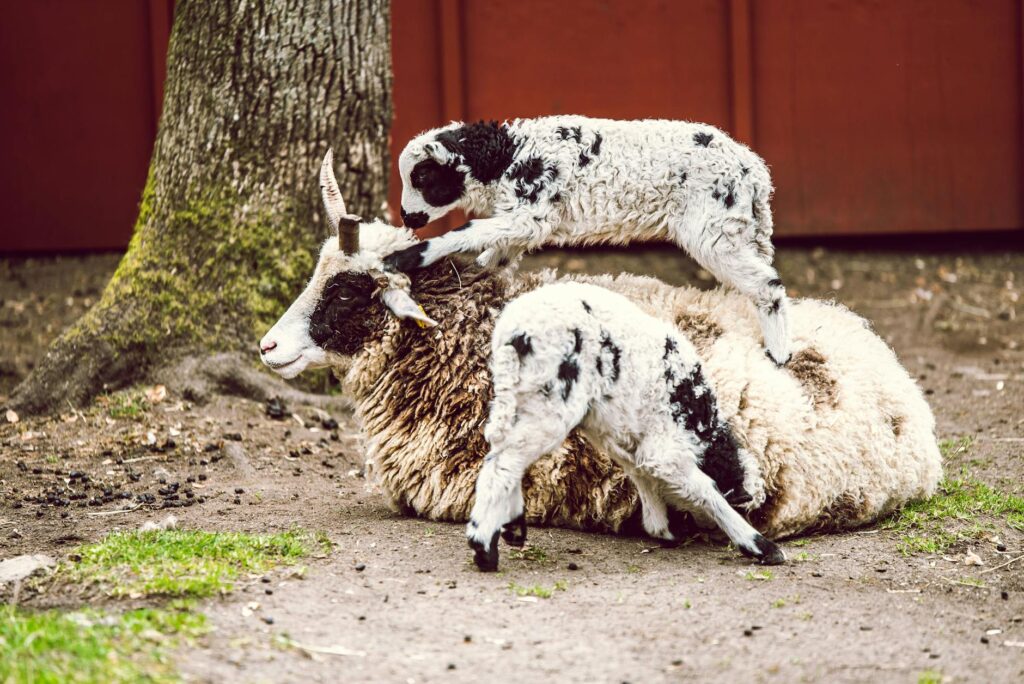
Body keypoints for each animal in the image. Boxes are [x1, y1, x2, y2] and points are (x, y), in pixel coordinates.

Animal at [385, 116, 792, 366]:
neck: (506, 156)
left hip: (713, 229)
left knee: (767, 285)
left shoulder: (531, 214)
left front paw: (406, 257)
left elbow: (467, 231)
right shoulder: (522, 222)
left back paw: (780, 355)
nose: (406, 216)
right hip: (742, 228)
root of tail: (754, 171)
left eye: (422, 176)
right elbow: (493, 258)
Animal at [467, 282, 784, 571]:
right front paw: (760, 546)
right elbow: (706, 490)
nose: (707, 535)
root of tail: (514, 333)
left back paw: (509, 530)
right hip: (548, 402)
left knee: (502, 452)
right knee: (506, 461)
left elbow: (642, 474)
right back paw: (484, 548)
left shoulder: (620, 439)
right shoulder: (665, 446)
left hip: (517, 397)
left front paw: (662, 529)